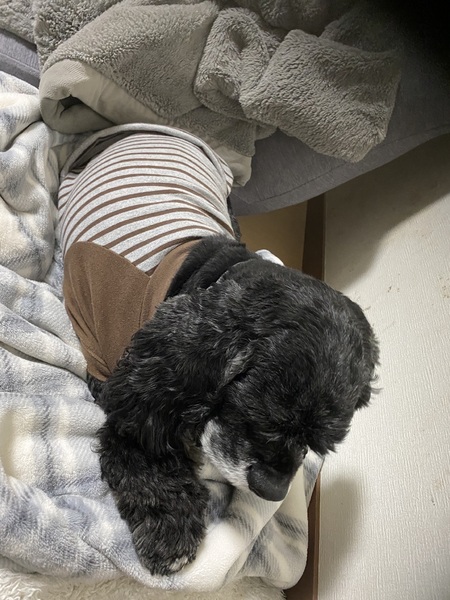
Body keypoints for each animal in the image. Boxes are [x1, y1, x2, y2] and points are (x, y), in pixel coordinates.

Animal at [59, 127, 378, 577]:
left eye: (319, 445)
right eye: (258, 417)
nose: (272, 490)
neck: (211, 272)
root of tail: (140, 131)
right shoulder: (131, 397)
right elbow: (147, 455)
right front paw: (171, 531)